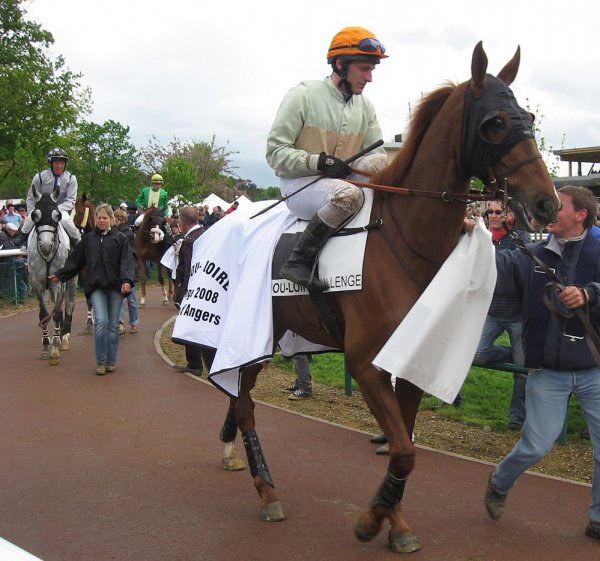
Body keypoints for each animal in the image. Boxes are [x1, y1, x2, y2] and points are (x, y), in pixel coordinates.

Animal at [210, 42, 556, 552]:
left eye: (528, 118)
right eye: (495, 122)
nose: (547, 203)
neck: (406, 239)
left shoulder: (410, 359)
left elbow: (403, 445)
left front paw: (395, 522)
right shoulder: (364, 361)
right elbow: (405, 449)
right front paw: (372, 520)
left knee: (238, 400)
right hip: (252, 339)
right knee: (246, 405)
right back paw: (267, 492)